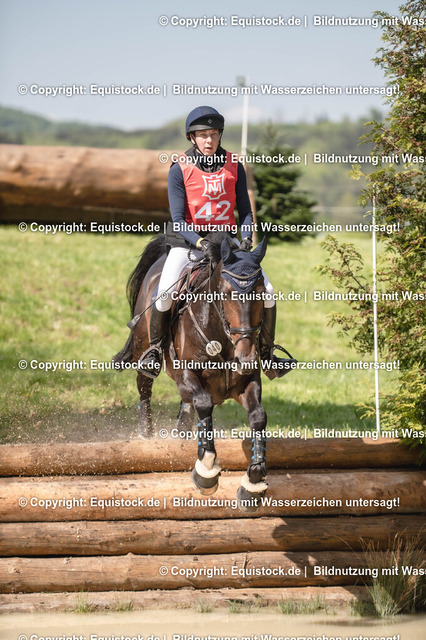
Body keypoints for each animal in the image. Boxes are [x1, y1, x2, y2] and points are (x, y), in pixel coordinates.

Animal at [114, 232, 271, 511]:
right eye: (226, 293)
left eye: (261, 293)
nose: (246, 358)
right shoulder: (186, 375)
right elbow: (204, 403)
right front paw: (206, 470)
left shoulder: (247, 382)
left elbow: (258, 417)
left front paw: (253, 482)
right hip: (144, 350)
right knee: (145, 390)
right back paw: (146, 434)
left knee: (187, 408)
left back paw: (182, 431)